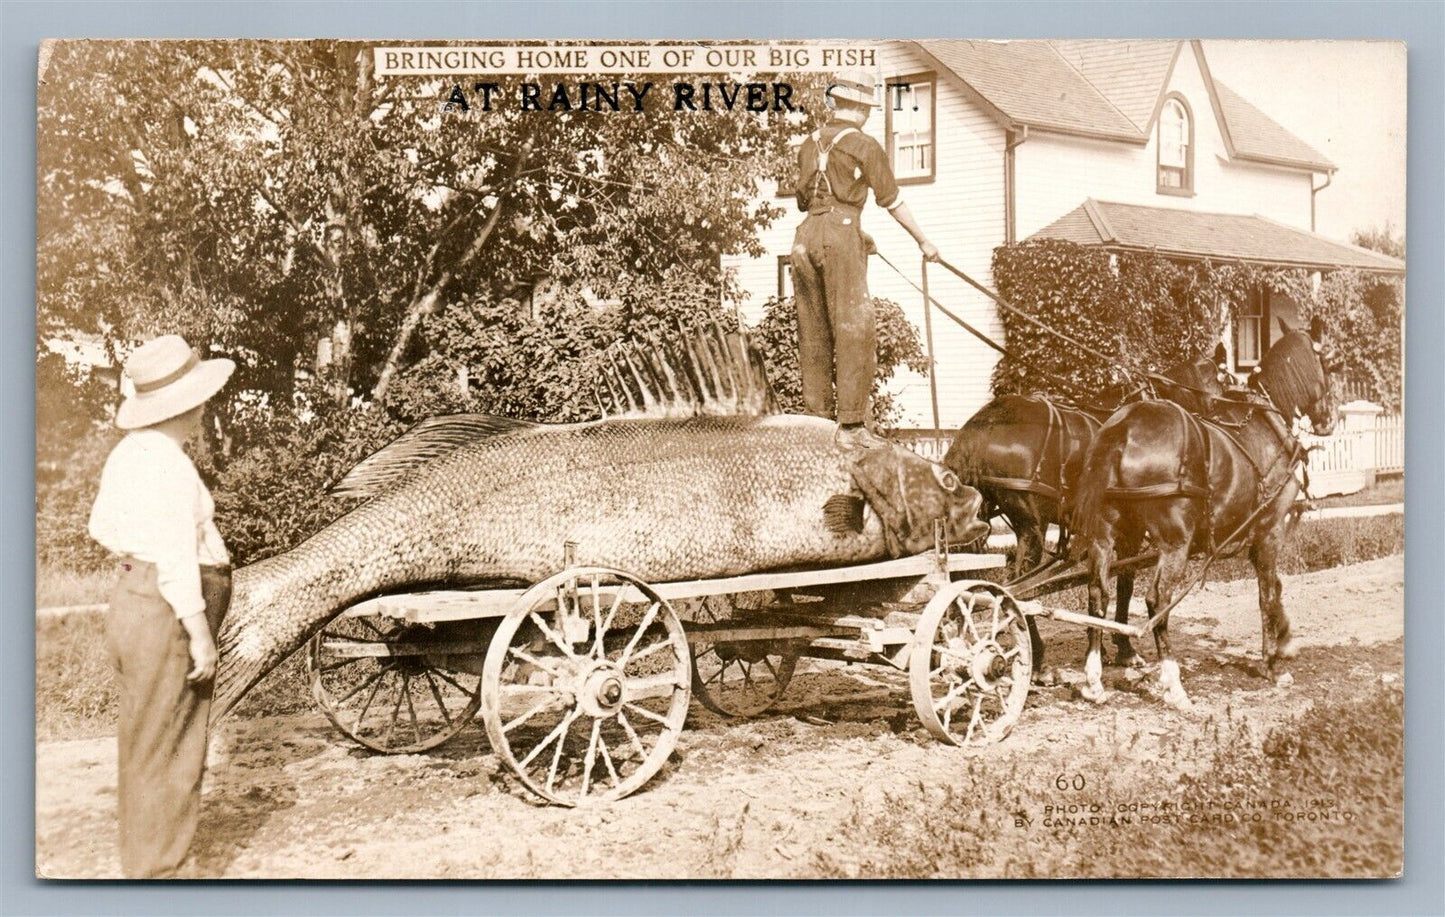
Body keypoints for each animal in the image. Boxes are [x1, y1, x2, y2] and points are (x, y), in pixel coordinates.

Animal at [947, 346, 1231, 675]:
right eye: (1220, 380)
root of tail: (978, 430)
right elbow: (1124, 584)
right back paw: (1038, 660)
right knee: (1018, 588)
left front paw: (1102, 647)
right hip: (1031, 527)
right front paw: (1125, 648)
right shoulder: (1129, 532)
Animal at [1069, 319, 1335, 713]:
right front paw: (1273, 662)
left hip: (1106, 536)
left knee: (1097, 595)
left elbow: (1274, 589)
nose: (1330, 418)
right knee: (1157, 600)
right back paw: (1173, 683)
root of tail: (1121, 432)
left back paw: (1093, 680)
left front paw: (1284, 640)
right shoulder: (1270, 529)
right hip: (1173, 543)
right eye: (1329, 365)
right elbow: (1268, 593)